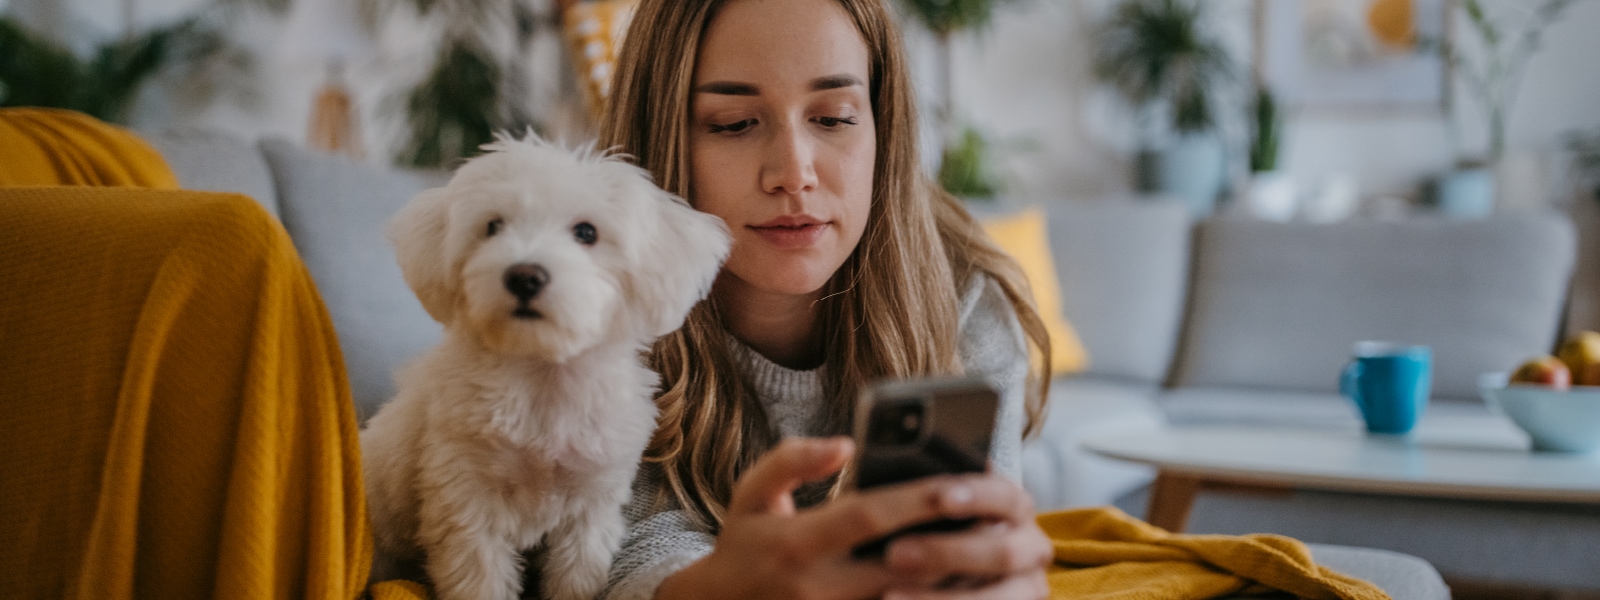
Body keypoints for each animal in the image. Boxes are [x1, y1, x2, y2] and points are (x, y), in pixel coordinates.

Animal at [363, 136, 732, 600]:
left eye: (587, 232)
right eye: (492, 227)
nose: (524, 276)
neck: (544, 376)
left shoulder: (591, 510)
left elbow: (576, 577)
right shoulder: (466, 501)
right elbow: (481, 582)